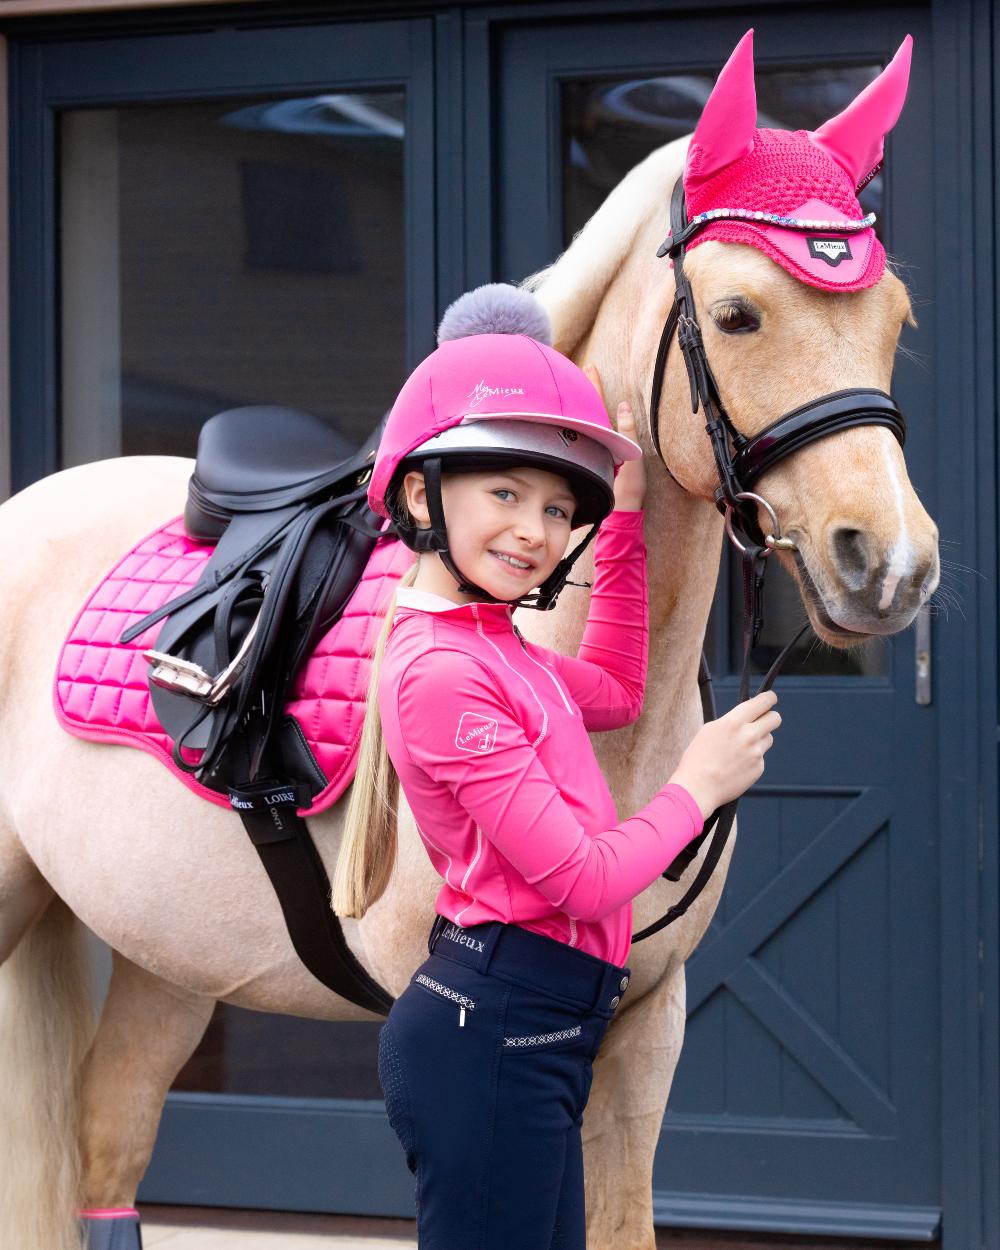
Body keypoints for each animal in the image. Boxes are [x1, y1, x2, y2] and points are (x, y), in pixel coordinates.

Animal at [0, 44, 940, 1250]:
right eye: (737, 314)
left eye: (894, 319)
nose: (891, 564)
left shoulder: (649, 1034)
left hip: (168, 957)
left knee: (106, 1138)